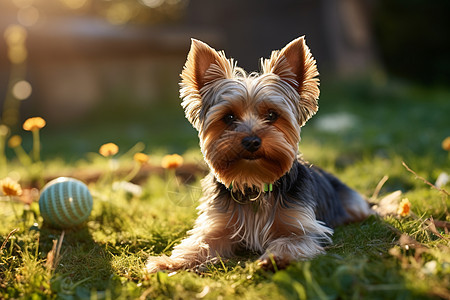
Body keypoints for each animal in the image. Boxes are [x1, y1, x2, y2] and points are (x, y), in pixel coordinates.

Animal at [145, 35, 372, 272]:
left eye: (272, 115)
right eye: (229, 117)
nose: (252, 141)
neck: (254, 183)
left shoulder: (303, 226)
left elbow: (292, 240)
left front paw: (276, 257)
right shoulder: (219, 225)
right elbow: (198, 243)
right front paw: (170, 262)